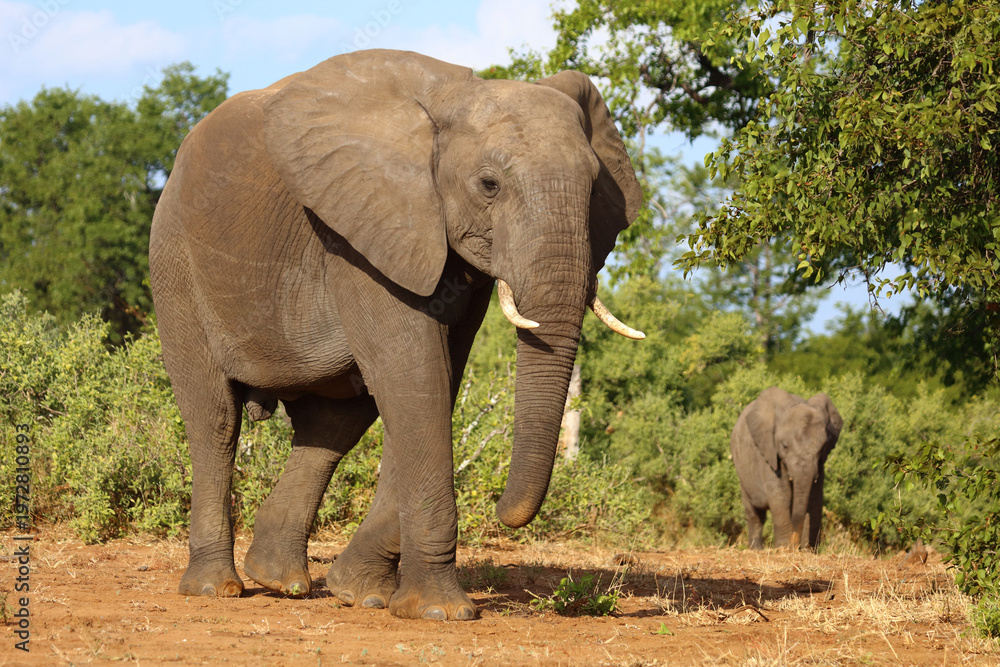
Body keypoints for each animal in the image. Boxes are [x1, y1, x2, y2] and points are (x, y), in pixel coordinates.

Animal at [148, 49, 644, 621]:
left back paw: (280, 580)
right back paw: (216, 588)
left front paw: (360, 593)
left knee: (335, 424)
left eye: (595, 188)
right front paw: (440, 613)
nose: (504, 511)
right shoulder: (361, 231)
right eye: (489, 185)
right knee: (215, 419)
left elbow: (434, 382)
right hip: (175, 264)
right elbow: (415, 378)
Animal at [730, 387, 842, 550]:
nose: (795, 542)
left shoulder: (820, 463)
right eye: (784, 446)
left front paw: (807, 550)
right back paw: (756, 549)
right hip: (741, 470)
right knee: (755, 514)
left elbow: (814, 497)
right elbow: (780, 493)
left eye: (822, 448)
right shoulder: (766, 451)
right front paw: (784, 548)